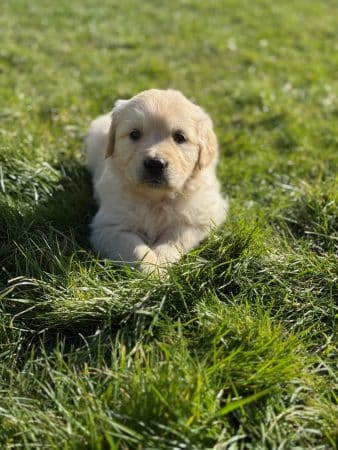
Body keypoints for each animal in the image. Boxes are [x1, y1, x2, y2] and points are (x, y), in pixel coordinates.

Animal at [84, 88, 228, 272]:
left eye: (179, 137)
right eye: (135, 134)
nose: (155, 164)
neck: (156, 198)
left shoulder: (199, 218)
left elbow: (174, 239)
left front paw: (160, 263)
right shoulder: (109, 227)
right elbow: (135, 248)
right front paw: (151, 269)